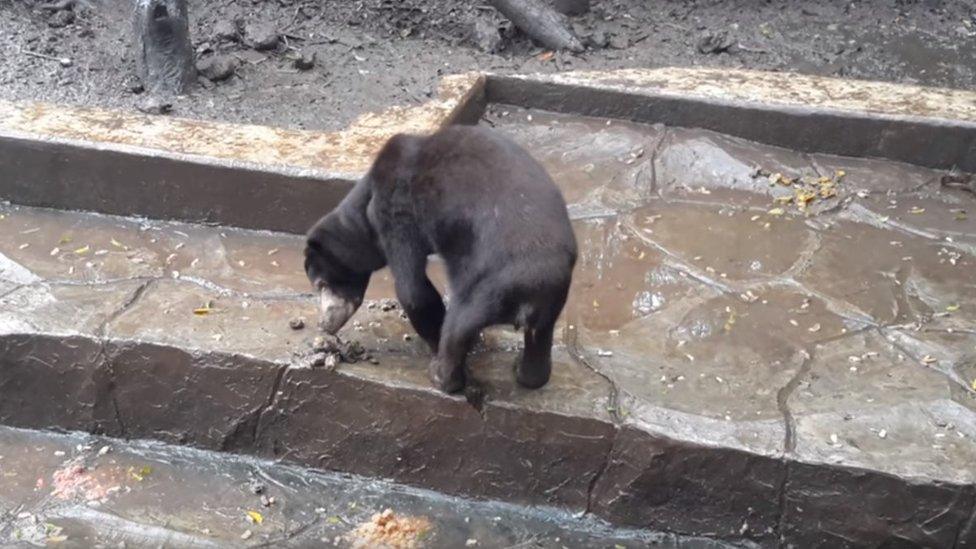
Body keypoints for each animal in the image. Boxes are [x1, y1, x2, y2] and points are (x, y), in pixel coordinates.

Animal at [304, 124, 576, 392]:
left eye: (321, 284)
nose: (324, 324)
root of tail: (530, 295)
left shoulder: (395, 208)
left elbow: (412, 290)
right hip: (552, 300)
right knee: (539, 339)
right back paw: (525, 372)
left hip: (487, 286)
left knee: (460, 323)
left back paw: (441, 375)